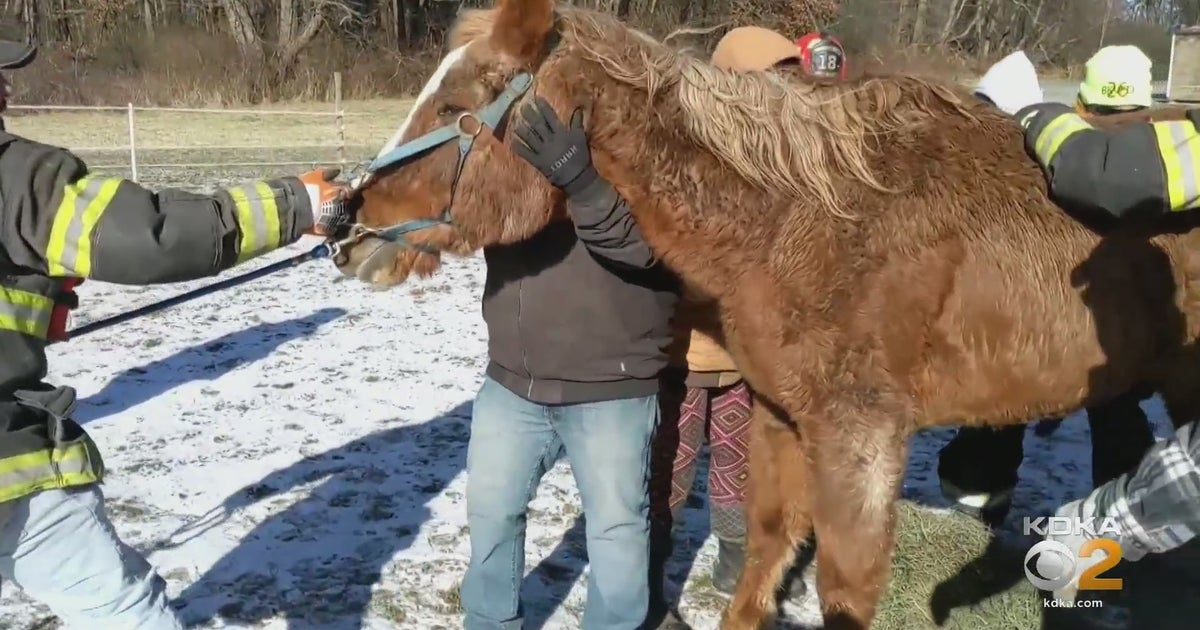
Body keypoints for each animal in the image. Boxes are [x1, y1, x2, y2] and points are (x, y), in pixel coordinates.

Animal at [334, 1, 1200, 628]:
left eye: (454, 103)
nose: (346, 225)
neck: (799, 220)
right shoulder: (783, 417)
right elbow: (768, 542)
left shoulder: (861, 440)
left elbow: (848, 588)